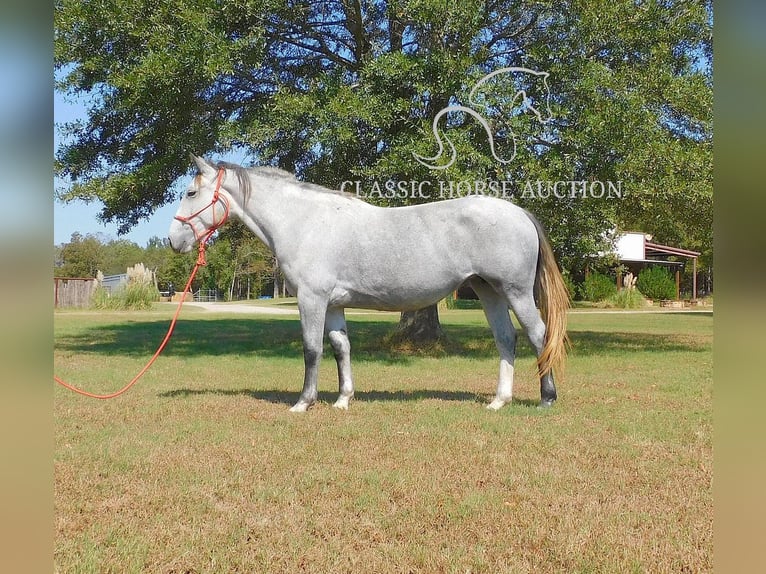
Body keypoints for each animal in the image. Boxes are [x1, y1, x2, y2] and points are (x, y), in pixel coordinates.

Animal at [170, 155, 568, 412]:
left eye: (190, 193)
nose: (174, 240)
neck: (305, 221)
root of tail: (519, 212)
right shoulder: (333, 304)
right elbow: (340, 348)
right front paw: (343, 399)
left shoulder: (312, 300)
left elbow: (311, 349)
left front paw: (303, 402)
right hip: (489, 291)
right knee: (506, 338)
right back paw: (499, 401)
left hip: (516, 292)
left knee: (538, 335)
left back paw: (547, 398)